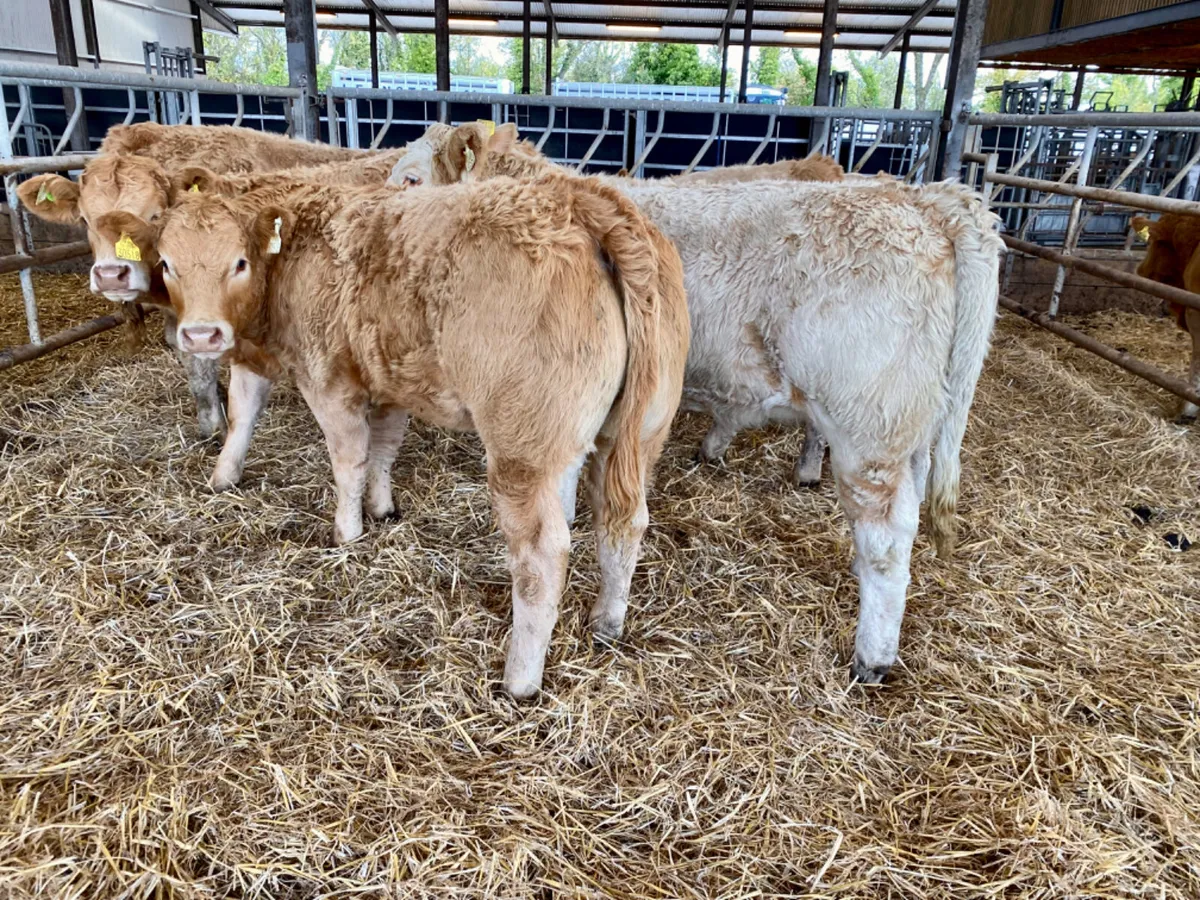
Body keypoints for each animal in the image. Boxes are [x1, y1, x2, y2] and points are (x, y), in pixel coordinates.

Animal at [150, 172, 691, 700]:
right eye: (167, 263)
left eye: (239, 261)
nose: (201, 335)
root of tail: (582, 198)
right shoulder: (388, 379)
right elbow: (317, 432)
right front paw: (234, 478)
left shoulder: (328, 379)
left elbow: (348, 458)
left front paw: (347, 532)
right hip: (635, 436)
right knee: (623, 522)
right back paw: (607, 621)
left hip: (521, 453)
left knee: (542, 554)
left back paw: (520, 681)